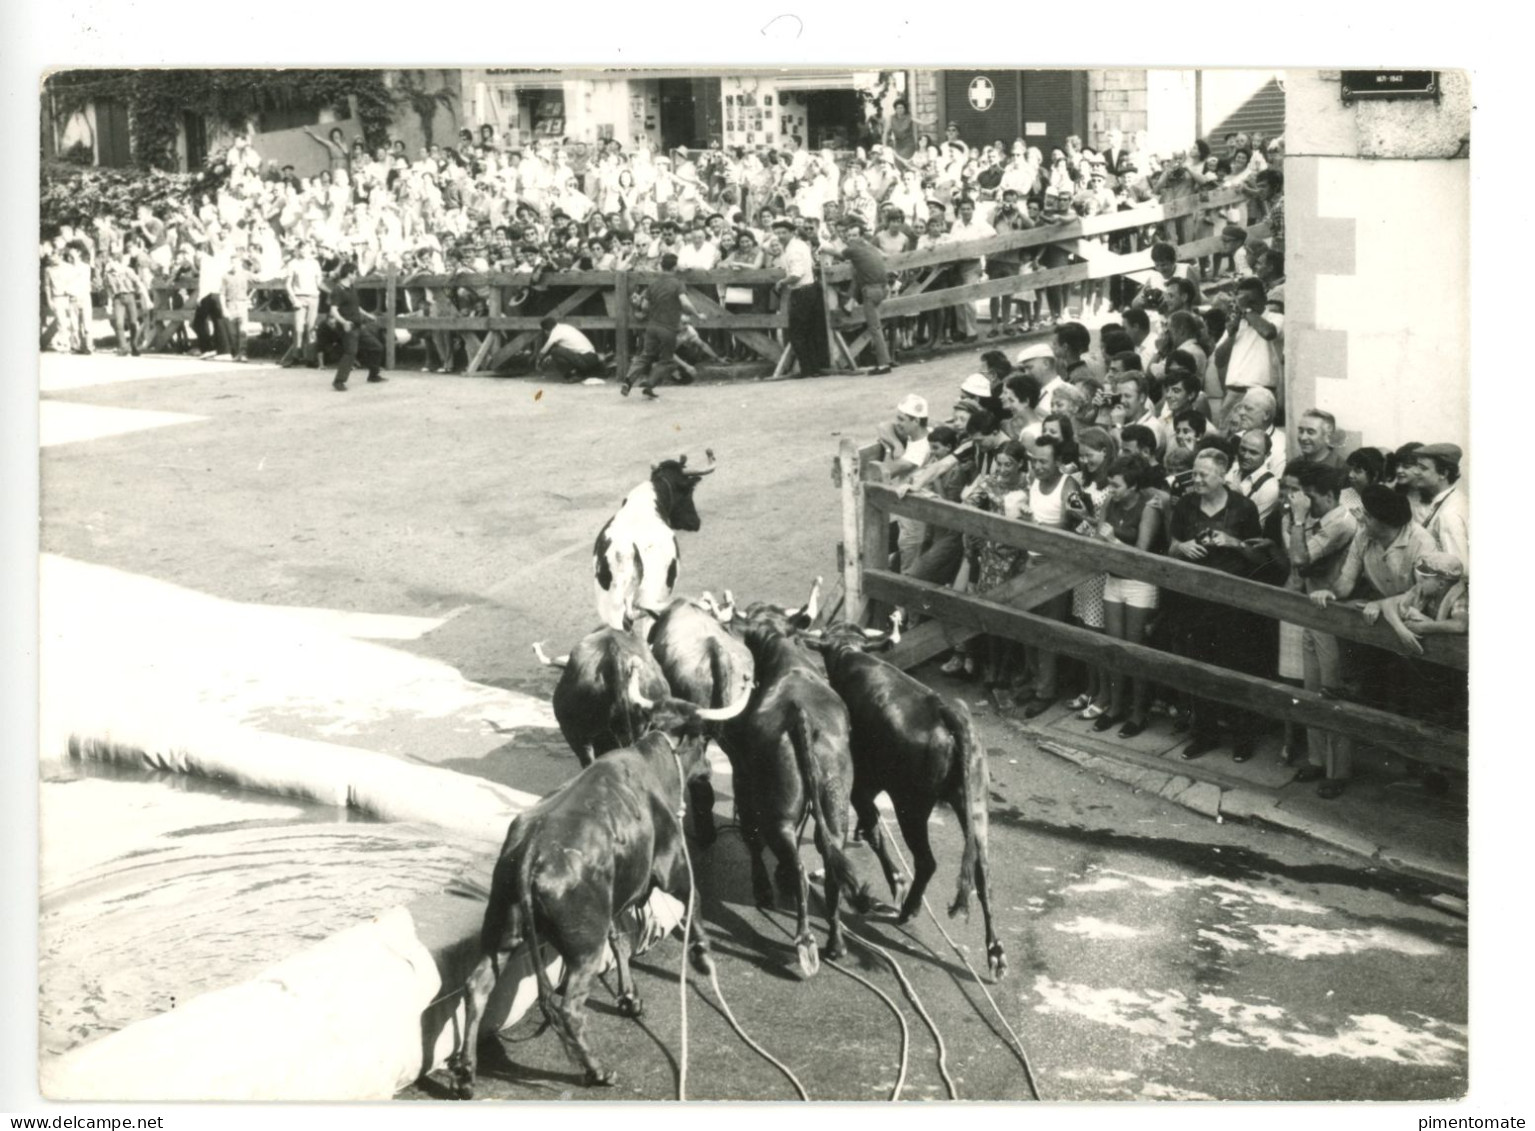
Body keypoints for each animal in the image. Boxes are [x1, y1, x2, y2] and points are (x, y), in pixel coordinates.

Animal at [448, 678, 746, 1092]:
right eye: (703, 737)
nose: (705, 772)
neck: (652, 763)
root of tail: (530, 851)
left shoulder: (617, 898)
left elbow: (620, 941)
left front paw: (629, 997)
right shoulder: (673, 868)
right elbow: (694, 901)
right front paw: (701, 956)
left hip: (501, 932)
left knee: (477, 987)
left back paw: (465, 1073)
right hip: (583, 947)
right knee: (570, 1008)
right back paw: (598, 1070)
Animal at [804, 623, 1006, 976]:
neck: (849, 653)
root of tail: (946, 710)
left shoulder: (861, 788)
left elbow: (874, 831)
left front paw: (895, 880)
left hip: (910, 807)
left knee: (926, 861)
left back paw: (908, 908)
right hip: (975, 805)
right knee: (984, 873)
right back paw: (995, 951)